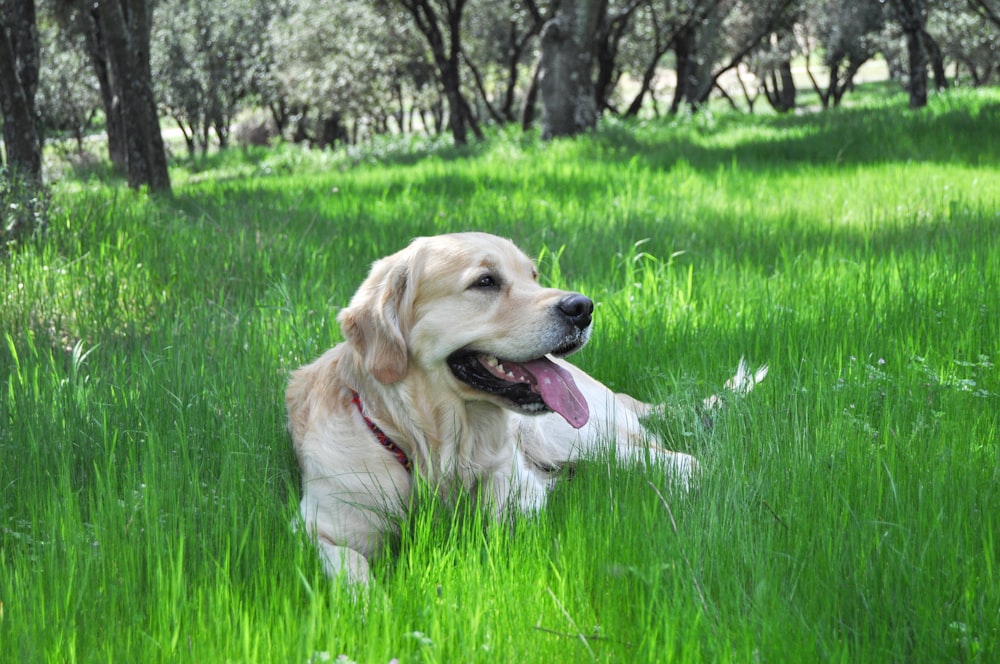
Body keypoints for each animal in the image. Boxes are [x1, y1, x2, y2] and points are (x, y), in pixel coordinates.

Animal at [286, 232, 768, 580]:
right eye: (485, 281)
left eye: (534, 275)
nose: (583, 307)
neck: (432, 447)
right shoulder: (315, 526)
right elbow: (348, 567)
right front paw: (372, 609)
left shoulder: (520, 495)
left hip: (574, 437)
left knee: (671, 459)